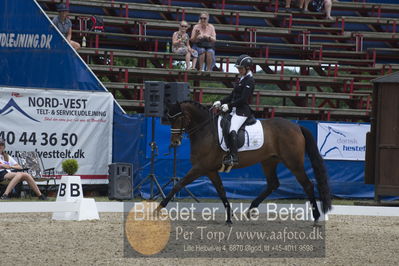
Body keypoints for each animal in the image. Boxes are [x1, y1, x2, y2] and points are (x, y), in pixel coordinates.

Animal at [158, 101, 332, 225]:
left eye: (179, 118)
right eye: (170, 119)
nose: (174, 142)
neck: (205, 130)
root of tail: (296, 126)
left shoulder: (200, 168)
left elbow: (178, 184)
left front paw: (158, 209)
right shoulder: (210, 170)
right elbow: (221, 191)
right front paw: (229, 218)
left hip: (293, 162)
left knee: (307, 185)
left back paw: (316, 217)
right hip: (269, 161)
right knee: (273, 184)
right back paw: (250, 210)